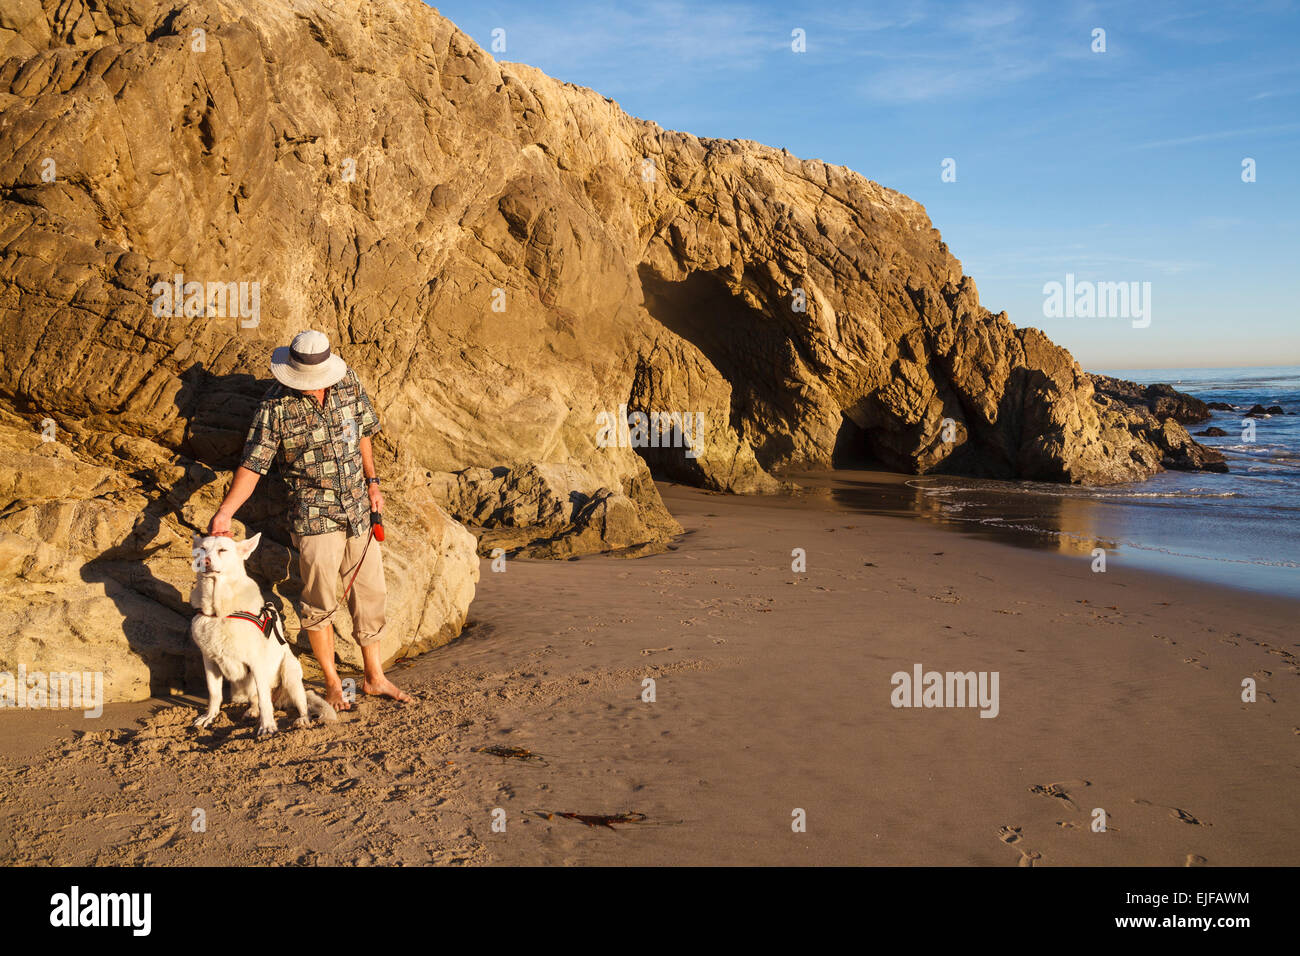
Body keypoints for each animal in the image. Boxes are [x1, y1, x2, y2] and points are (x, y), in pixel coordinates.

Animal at [191, 535, 338, 738]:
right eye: (202, 550)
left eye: (222, 550)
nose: (204, 561)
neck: (219, 611)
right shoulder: (210, 661)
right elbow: (214, 693)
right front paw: (208, 717)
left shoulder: (257, 662)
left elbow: (264, 700)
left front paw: (267, 726)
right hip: (241, 690)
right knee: (256, 699)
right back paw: (252, 711)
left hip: (290, 673)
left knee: (299, 704)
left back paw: (302, 720)